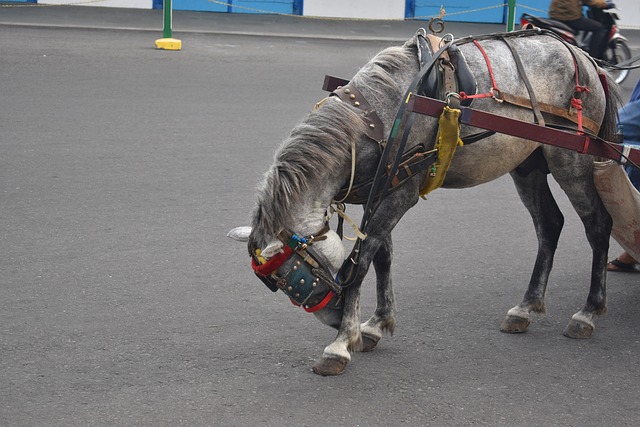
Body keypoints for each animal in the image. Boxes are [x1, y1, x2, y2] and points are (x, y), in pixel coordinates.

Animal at [229, 30, 620, 376]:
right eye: (283, 285)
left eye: (294, 277)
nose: (334, 318)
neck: (375, 119)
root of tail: (586, 59)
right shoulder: (384, 190)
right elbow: (383, 257)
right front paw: (375, 324)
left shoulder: (401, 195)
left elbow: (361, 262)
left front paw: (341, 344)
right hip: (529, 163)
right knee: (549, 224)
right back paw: (525, 307)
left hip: (571, 158)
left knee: (598, 225)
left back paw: (589, 311)